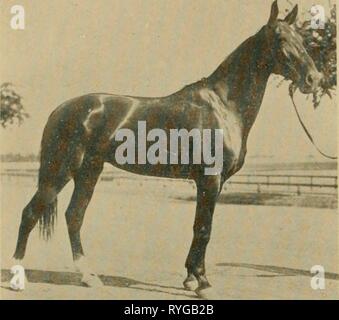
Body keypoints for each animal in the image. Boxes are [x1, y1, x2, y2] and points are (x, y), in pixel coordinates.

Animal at [12, 1, 322, 298]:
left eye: (302, 37)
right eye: (280, 38)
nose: (313, 79)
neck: (223, 105)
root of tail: (60, 109)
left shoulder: (214, 182)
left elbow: (199, 228)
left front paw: (190, 278)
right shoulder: (209, 179)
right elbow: (204, 229)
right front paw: (203, 283)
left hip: (89, 171)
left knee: (74, 216)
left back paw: (89, 277)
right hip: (61, 170)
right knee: (30, 213)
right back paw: (17, 276)